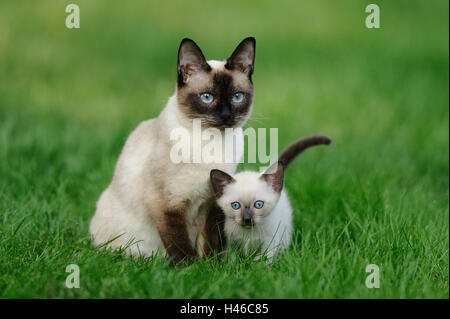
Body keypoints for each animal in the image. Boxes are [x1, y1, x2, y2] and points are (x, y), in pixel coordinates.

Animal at [89, 37, 256, 264]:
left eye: (237, 97)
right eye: (207, 97)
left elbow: (211, 240)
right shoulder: (167, 203)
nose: (225, 116)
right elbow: (179, 242)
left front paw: (211, 266)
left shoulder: (214, 203)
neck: (211, 142)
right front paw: (189, 268)